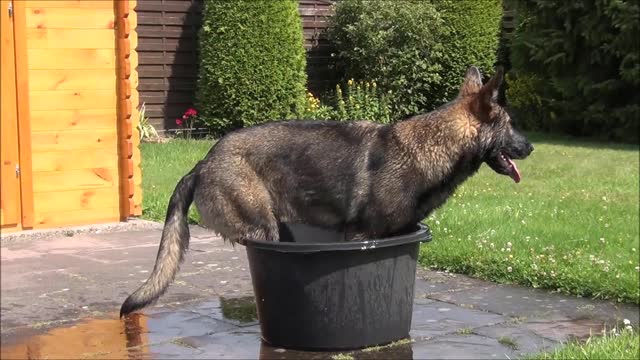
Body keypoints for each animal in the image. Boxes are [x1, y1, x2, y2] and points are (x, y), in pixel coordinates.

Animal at [120, 66, 536, 316]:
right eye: (511, 125)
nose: (531, 147)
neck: (435, 146)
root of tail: (203, 162)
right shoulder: (359, 235)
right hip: (264, 229)